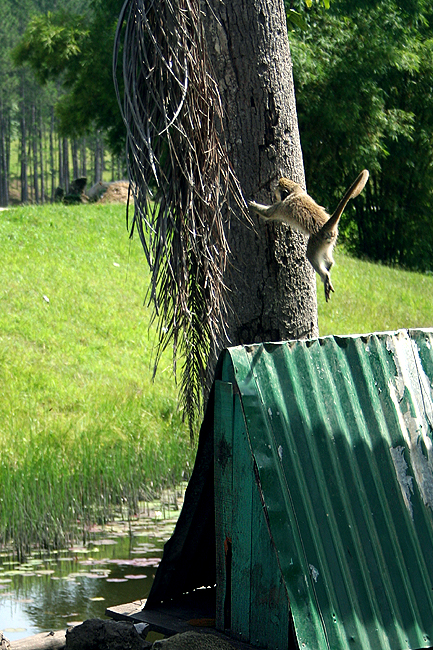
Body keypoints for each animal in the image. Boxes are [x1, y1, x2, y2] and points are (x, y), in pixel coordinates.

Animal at [250, 167, 368, 298]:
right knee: (327, 257)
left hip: (317, 240)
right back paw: (329, 266)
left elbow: (267, 214)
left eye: (278, 187)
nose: (275, 185)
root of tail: (325, 227)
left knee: (311, 255)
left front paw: (251, 204)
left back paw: (325, 276)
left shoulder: (282, 206)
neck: (295, 192)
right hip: (327, 242)